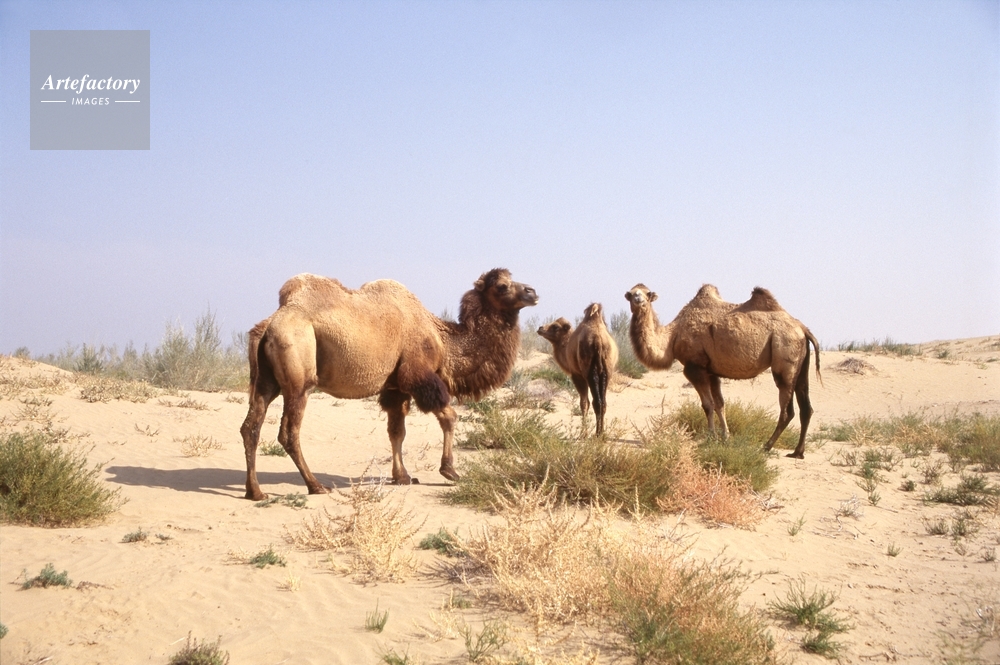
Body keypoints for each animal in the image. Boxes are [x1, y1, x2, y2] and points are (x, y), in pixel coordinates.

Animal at [239, 268, 538, 500]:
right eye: (502, 286)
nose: (533, 291)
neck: (443, 339)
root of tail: (269, 324)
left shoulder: (396, 386)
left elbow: (397, 431)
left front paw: (403, 476)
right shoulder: (418, 375)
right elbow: (449, 417)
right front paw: (450, 471)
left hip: (265, 381)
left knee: (251, 427)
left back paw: (255, 492)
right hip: (299, 376)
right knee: (289, 431)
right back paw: (316, 486)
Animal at [537, 303, 619, 436]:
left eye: (555, 326)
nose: (540, 328)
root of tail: (598, 341)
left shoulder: (577, 375)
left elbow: (584, 403)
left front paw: (583, 434)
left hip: (590, 371)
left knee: (596, 402)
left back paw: (597, 434)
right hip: (607, 371)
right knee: (603, 402)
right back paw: (601, 433)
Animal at [625, 283, 820, 458]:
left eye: (647, 293)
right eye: (632, 293)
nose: (638, 299)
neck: (672, 337)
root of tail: (803, 329)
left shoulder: (695, 368)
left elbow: (707, 405)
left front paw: (711, 438)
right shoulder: (712, 371)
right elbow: (720, 404)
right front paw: (726, 437)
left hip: (785, 355)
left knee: (788, 409)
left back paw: (766, 446)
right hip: (801, 363)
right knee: (806, 407)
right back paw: (797, 452)